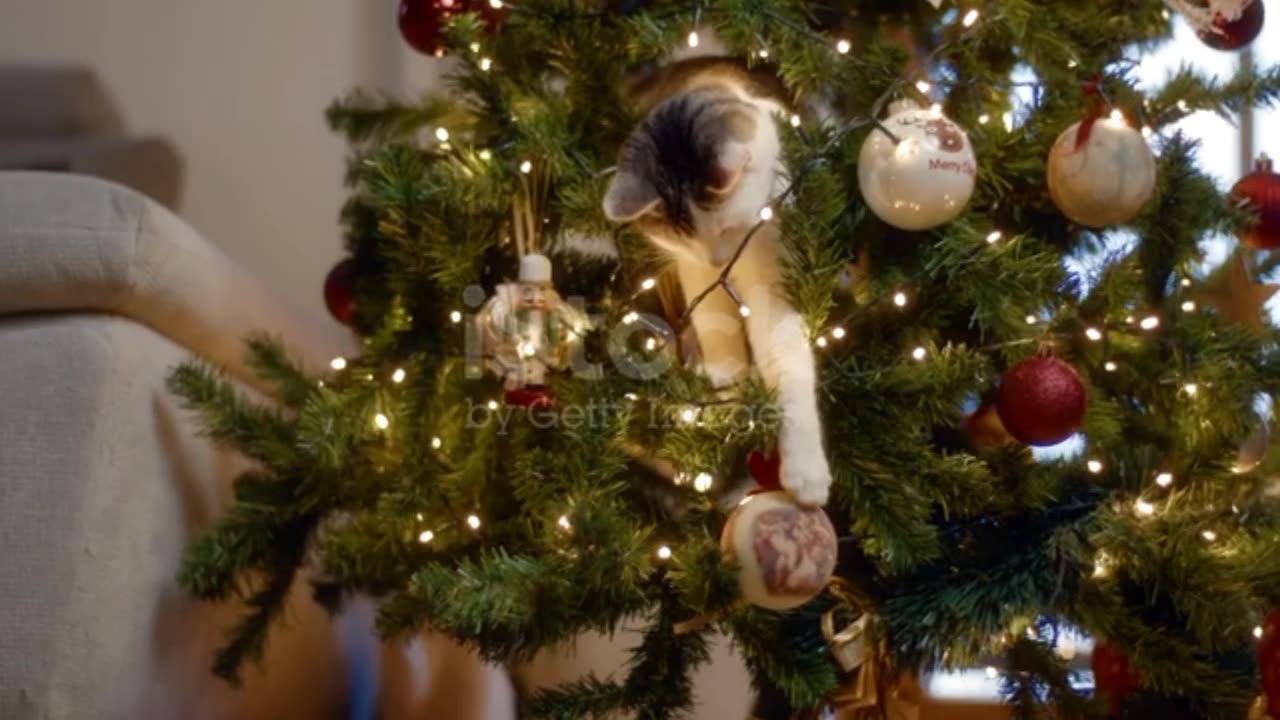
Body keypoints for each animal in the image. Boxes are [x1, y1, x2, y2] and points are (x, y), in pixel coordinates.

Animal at [599, 57, 829, 504]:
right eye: (687, 240)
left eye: (727, 230)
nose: (719, 260)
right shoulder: (693, 272)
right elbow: (721, 343)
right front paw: (729, 405)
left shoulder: (773, 266)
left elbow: (786, 358)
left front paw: (806, 472)